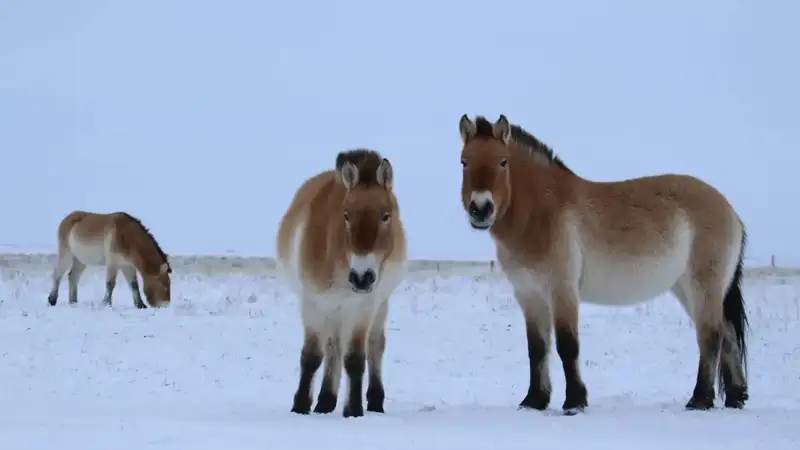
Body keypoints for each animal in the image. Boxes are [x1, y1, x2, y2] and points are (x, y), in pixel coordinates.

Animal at [278, 149, 410, 418]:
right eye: (346, 215)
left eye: (386, 216)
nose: (362, 277)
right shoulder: (313, 304)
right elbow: (311, 356)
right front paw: (300, 406)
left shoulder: (362, 308)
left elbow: (356, 359)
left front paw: (354, 410)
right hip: (333, 311)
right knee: (333, 348)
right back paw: (325, 401)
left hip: (378, 304)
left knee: (374, 346)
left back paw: (373, 401)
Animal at [456, 113, 752, 414]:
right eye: (464, 161)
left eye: (503, 161)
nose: (481, 209)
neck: (541, 213)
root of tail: (730, 211)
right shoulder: (529, 295)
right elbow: (537, 348)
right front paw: (534, 401)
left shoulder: (562, 290)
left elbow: (567, 344)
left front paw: (574, 402)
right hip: (686, 288)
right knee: (727, 334)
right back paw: (735, 397)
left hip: (703, 285)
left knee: (711, 336)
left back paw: (700, 399)